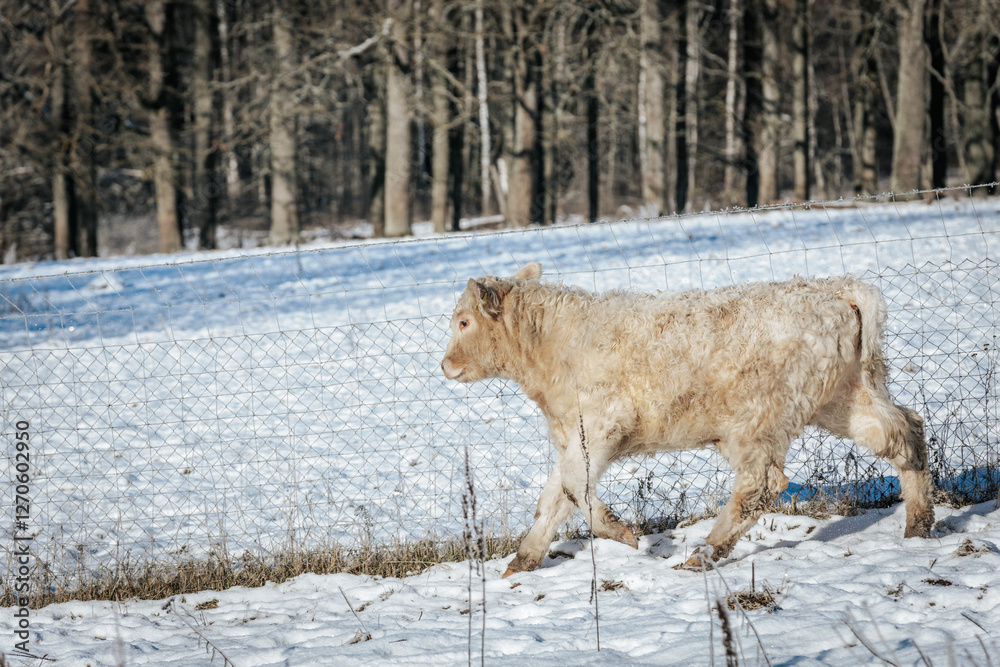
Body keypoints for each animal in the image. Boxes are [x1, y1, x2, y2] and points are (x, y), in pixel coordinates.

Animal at [441, 263, 934, 577]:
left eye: (463, 322)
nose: (445, 365)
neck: (556, 345)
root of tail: (833, 288)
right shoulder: (572, 437)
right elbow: (555, 497)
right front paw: (521, 562)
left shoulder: (602, 425)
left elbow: (574, 488)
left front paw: (623, 533)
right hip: (842, 400)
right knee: (905, 431)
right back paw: (918, 526)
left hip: (759, 420)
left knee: (760, 486)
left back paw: (704, 554)